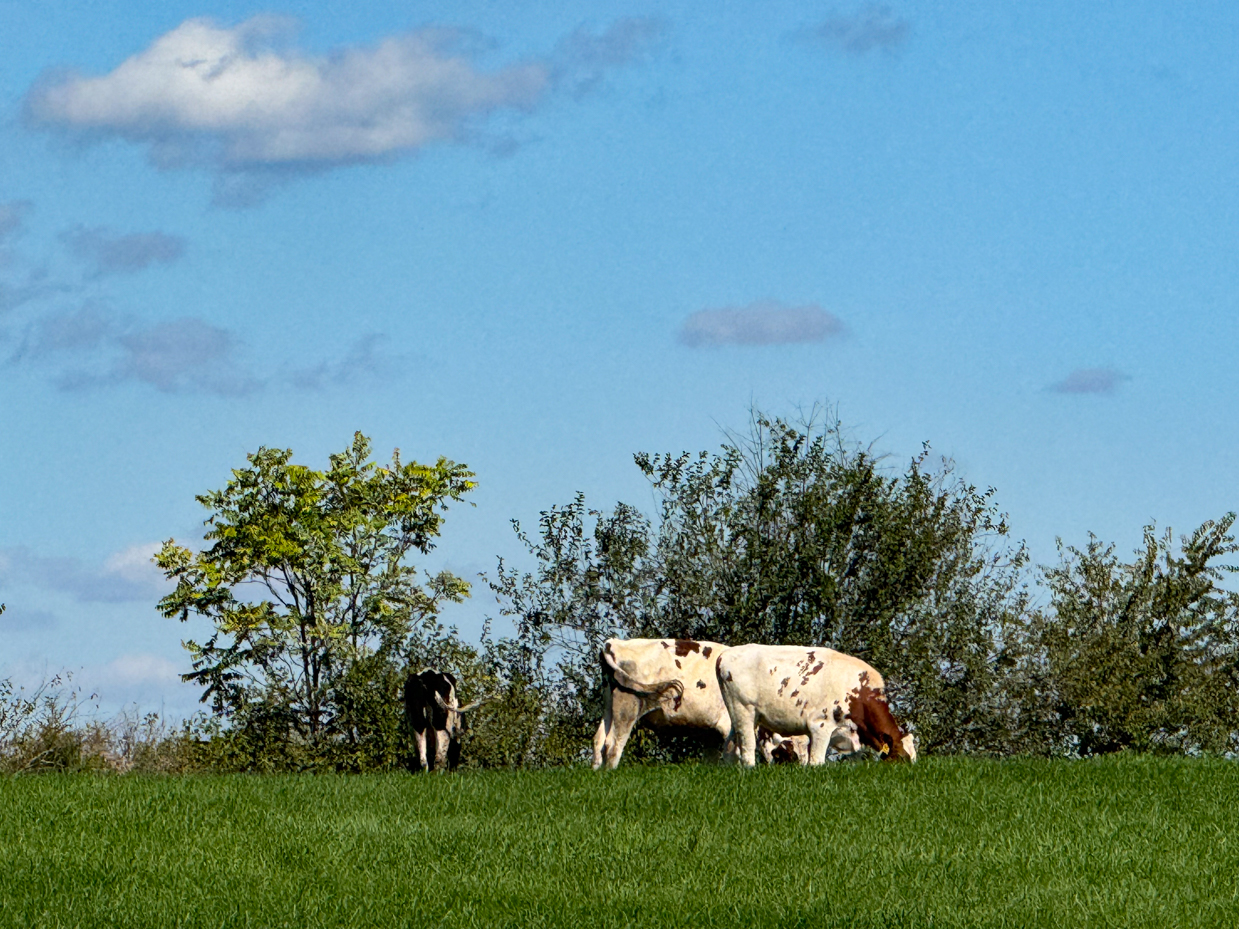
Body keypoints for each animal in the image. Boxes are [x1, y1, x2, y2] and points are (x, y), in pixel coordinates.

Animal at [592, 639, 733, 772]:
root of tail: (612, 642)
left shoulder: (711, 734)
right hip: (626, 706)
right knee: (613, 744)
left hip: (609, 706)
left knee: (598, 741)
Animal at [718, 644, 921, 767]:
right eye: (901, 757)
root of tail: (724, 654)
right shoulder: (820, 726)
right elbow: (817, 761)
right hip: (744, 712)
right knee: (747, 747)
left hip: (737, 716)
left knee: (730, 746)